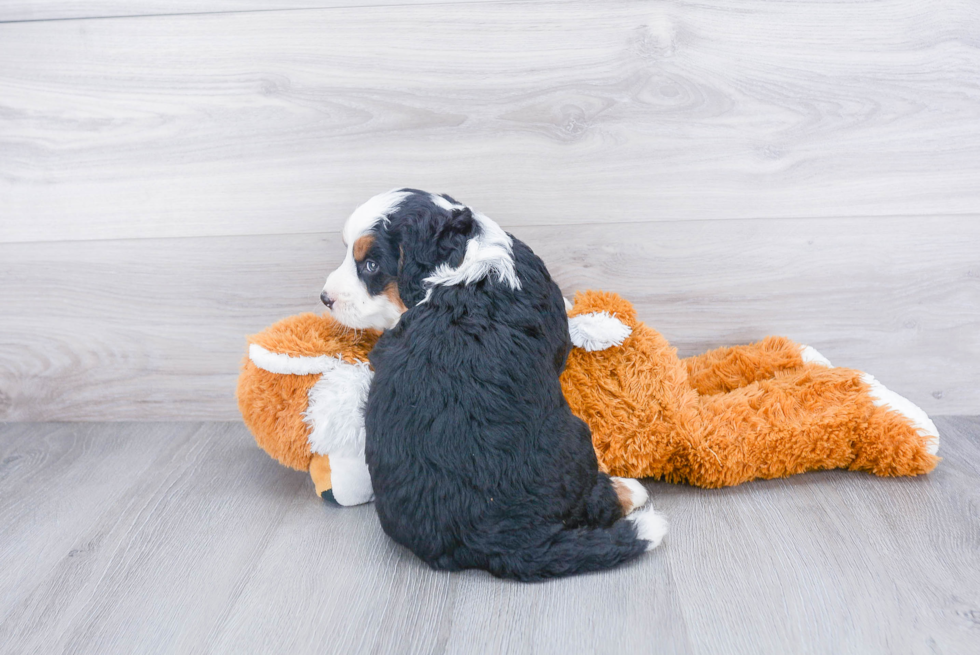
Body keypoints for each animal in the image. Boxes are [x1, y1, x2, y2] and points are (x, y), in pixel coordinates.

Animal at [322, 188, 668, 580]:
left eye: (369, 266)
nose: (325, 298)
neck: (459, 262)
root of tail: (495, 540)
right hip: (576, 440)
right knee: (591, 501)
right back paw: (630, 491)